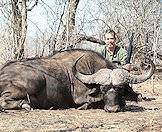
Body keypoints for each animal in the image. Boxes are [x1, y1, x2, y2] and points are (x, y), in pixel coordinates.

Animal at [0, 49, 155, 112]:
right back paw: (25, 105)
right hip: (37, 80)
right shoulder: (80, 98)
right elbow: (89, 103)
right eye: (103, 89)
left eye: (120, 89)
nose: (112, 109)